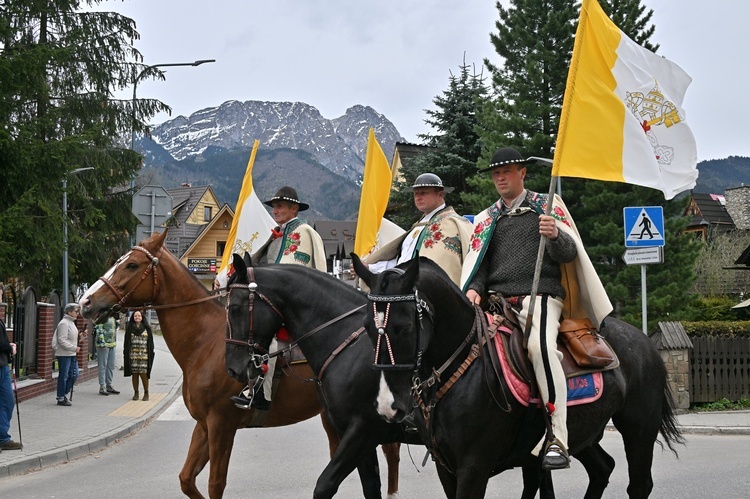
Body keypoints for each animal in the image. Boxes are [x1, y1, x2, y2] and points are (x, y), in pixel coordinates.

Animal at [78, 233, 406, 499]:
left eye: (132, 265)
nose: (85, 303)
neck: (206, 342)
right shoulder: (204, 425)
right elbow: (187, 480)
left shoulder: (222, 425)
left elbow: (215, 484)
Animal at [352, 256, 688, 498]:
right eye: (367, 327)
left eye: (404, 327)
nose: (388, 406)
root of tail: (644, 341)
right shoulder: (445, 467)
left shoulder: (473, 467)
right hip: (583, 432)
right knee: (602, 469)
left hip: (639, 429)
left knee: (639, 484)